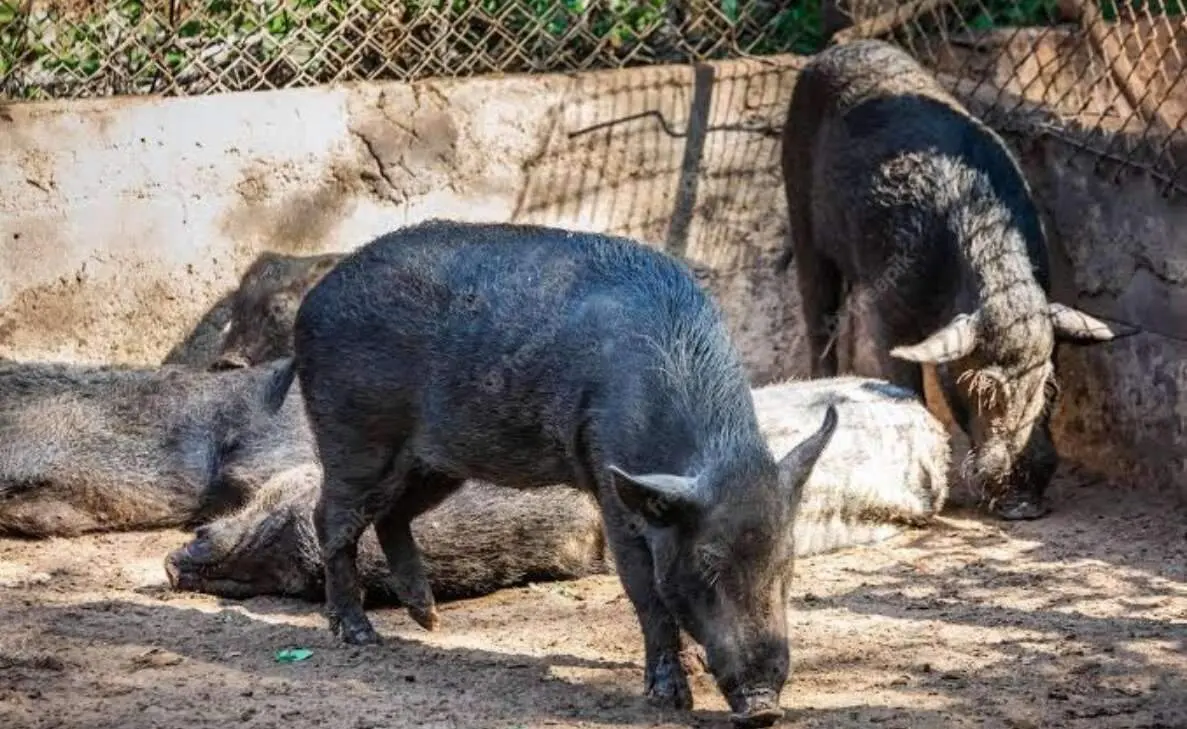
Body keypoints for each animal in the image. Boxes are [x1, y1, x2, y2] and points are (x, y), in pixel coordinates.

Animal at [292, 219, 839, 726]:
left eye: (786, 562)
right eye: (707, 563)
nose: (764, 708)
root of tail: (312, 299)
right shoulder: (613, 490)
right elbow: (645, 591)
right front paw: (668, 699)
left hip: (434, 464)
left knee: (392, 516)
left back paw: (430, 622)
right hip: (355, 437)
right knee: (332, 519)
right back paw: (361, 637)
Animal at [778, 39, 1133, 521]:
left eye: (1046, 384)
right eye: (983, 388)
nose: (1024, 506)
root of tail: (843, 48)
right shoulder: (891, 308)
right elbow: (902, 379)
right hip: (799, 209)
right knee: (818, 315)